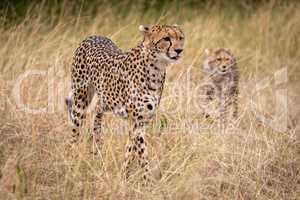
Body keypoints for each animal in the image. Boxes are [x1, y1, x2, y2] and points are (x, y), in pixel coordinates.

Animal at [65, 24, 184, 181]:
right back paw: (72, 161)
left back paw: (97, 149)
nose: (179, 50)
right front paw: (147, 182)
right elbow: (142, 155)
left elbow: (130, 150)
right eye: (166, 38)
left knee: (97, 114)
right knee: (75, 130)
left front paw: (124, 176)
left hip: (105, 98)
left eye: (180, 38)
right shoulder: (136, 122)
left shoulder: (141, 121)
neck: (156, 68)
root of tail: (93, 36)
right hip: (81, 100)